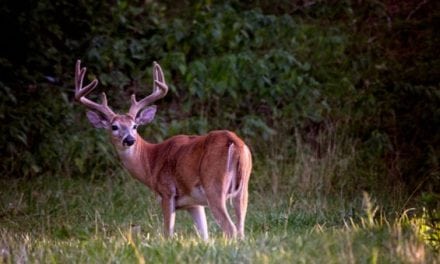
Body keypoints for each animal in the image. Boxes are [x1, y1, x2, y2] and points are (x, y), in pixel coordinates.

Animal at [74, 59, 253, 239]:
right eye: (114, 127)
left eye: (135, 126)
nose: (130, 140)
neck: (151, 161)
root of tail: (234, 142)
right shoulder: (194, 204)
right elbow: (205, 236)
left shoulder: (167, 191)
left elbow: (168, 234)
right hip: (243, 188)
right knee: (241, 230)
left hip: (214, 185)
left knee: (231, 228)